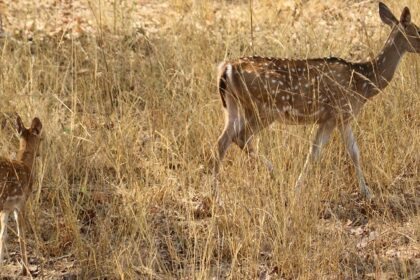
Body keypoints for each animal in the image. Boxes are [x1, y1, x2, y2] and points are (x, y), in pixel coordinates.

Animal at [0, 115, 42, 276]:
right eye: (41, 139)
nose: (39, 154)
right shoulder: (21, 202)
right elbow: (21, 235)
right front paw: (25, 270)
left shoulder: (6, 208)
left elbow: (3, 236)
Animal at [213, 1, 420, 200]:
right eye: (418, 31)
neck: (363, 82)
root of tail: (227, 68)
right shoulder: (340, 113)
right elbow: (341, 153)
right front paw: (367, 193)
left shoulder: (331, 119)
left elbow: (329, 152)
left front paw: (365, 192)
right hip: (263, 108)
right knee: (241, 137)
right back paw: (275, 174)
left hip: (233, 107)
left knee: (222, 141)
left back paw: (217, 194)